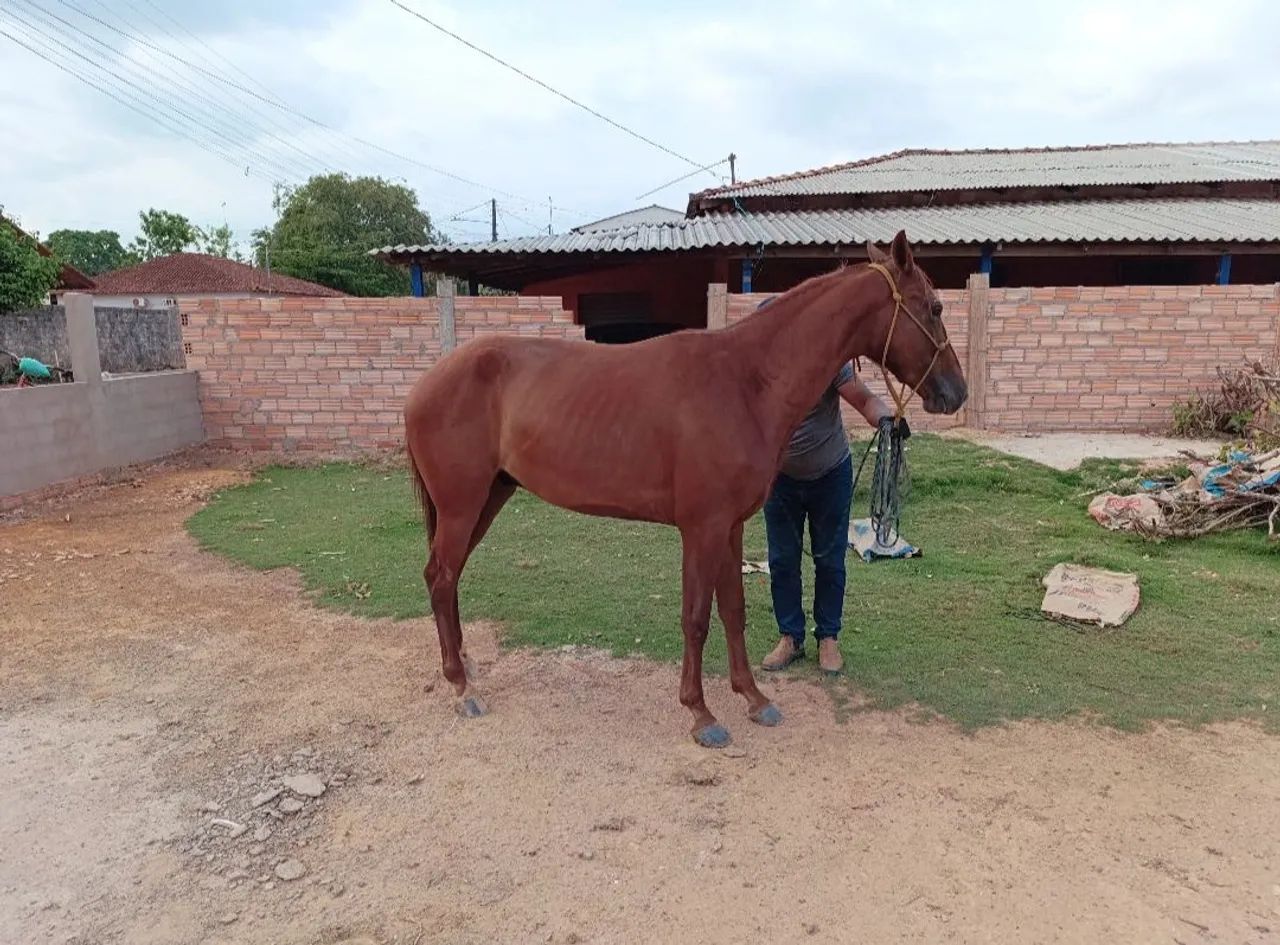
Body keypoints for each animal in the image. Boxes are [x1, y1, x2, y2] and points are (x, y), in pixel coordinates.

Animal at [404, 230, 967, 748]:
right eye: (935, 306)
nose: (956, 392)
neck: (746, 382)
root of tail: (426, 383)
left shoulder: (732, 527)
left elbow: (734, 610)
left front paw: (754, 698)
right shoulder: (702, 528)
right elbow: (696, 618)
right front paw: (701, 714)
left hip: (488, 498)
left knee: (448, 578)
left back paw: (465, 667)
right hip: (462, 505)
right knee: (441, 576)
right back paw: (461, 686)